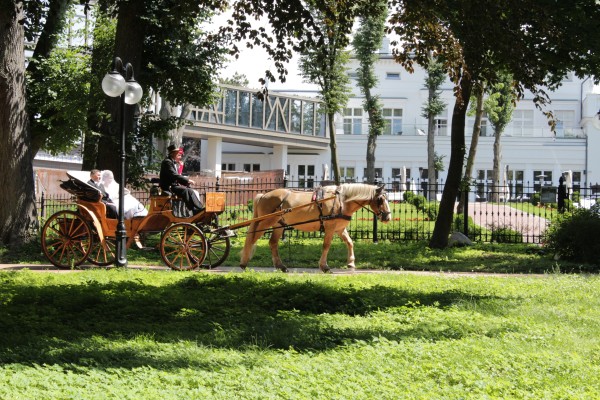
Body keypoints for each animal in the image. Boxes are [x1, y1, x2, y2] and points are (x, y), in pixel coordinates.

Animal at [241, 184, 392, 272]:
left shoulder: (339, 229)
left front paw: (351, 263)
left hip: (279, 225)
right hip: (264, 223)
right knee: (252, 238)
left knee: (272, 243)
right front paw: (324, 266)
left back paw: (280, 266)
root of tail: (263, 195)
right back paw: (244, 262)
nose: (388, 217)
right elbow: (326, 245)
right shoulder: (330, 228)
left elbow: (349, 242)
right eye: (380, 199)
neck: (342, 201)